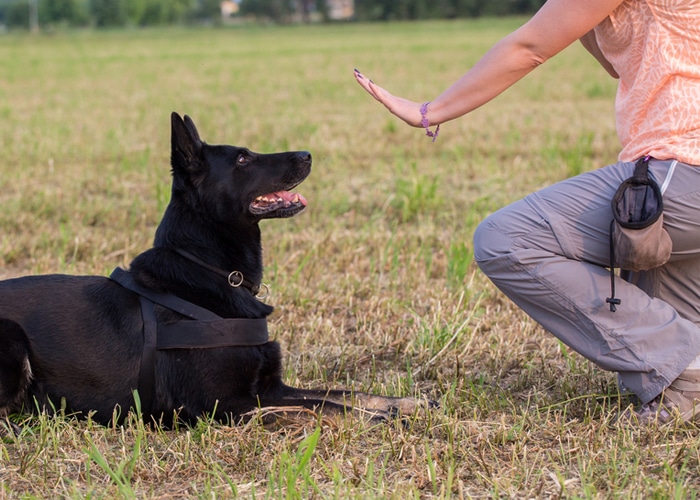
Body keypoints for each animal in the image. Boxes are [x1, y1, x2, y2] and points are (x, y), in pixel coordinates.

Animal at [0, 112, 426, 430]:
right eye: (242, 159)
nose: (307, 154)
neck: (212, 272)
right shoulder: (223, 407)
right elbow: (319, 407)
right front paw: (379, 420)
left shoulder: (270, 387)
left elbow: (339, 393)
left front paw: (404, 403)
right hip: (12, 340)